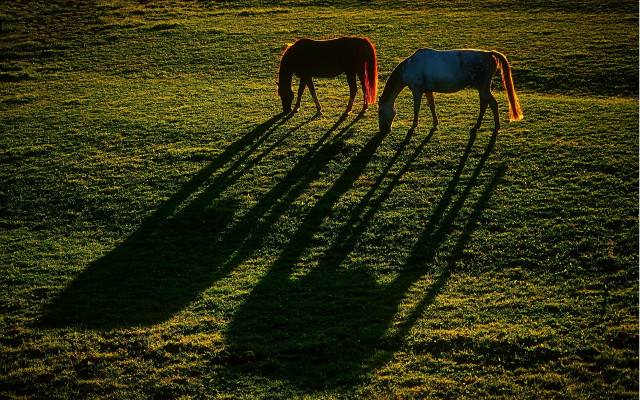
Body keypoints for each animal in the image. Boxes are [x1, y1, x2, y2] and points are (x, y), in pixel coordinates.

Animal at [378, 48, 523, 134]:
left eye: (380, 112)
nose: (383, 130)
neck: (410, 66)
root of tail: (489, 54)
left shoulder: (417, 90)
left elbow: (416, 108)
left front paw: (413, 126)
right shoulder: (427, 90)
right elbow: (432, 106)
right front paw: (435, 124)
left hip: (483, 87)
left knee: (493, 104)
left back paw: (496, 127)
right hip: (482, 88)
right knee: (484, 105)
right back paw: (476, 126)